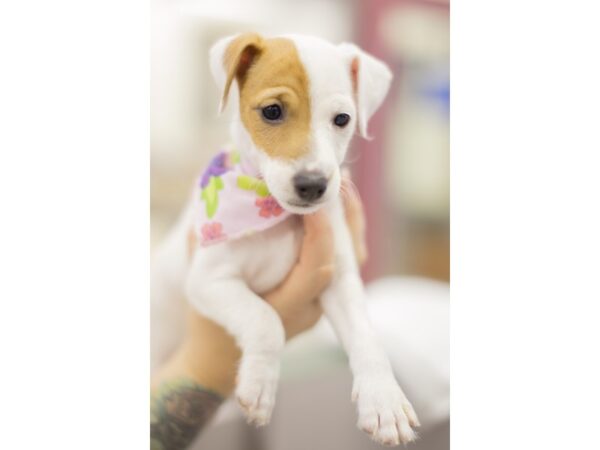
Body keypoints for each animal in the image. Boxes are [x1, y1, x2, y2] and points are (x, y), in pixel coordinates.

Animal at [152, 32, 420, 446]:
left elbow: (367, 336)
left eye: (343, 120)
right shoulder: (208, 281)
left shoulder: (338, 278)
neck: (275, 215)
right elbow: (265, 319)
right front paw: (260, 387)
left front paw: (385, 401)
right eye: (272, 111)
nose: (312, 184)